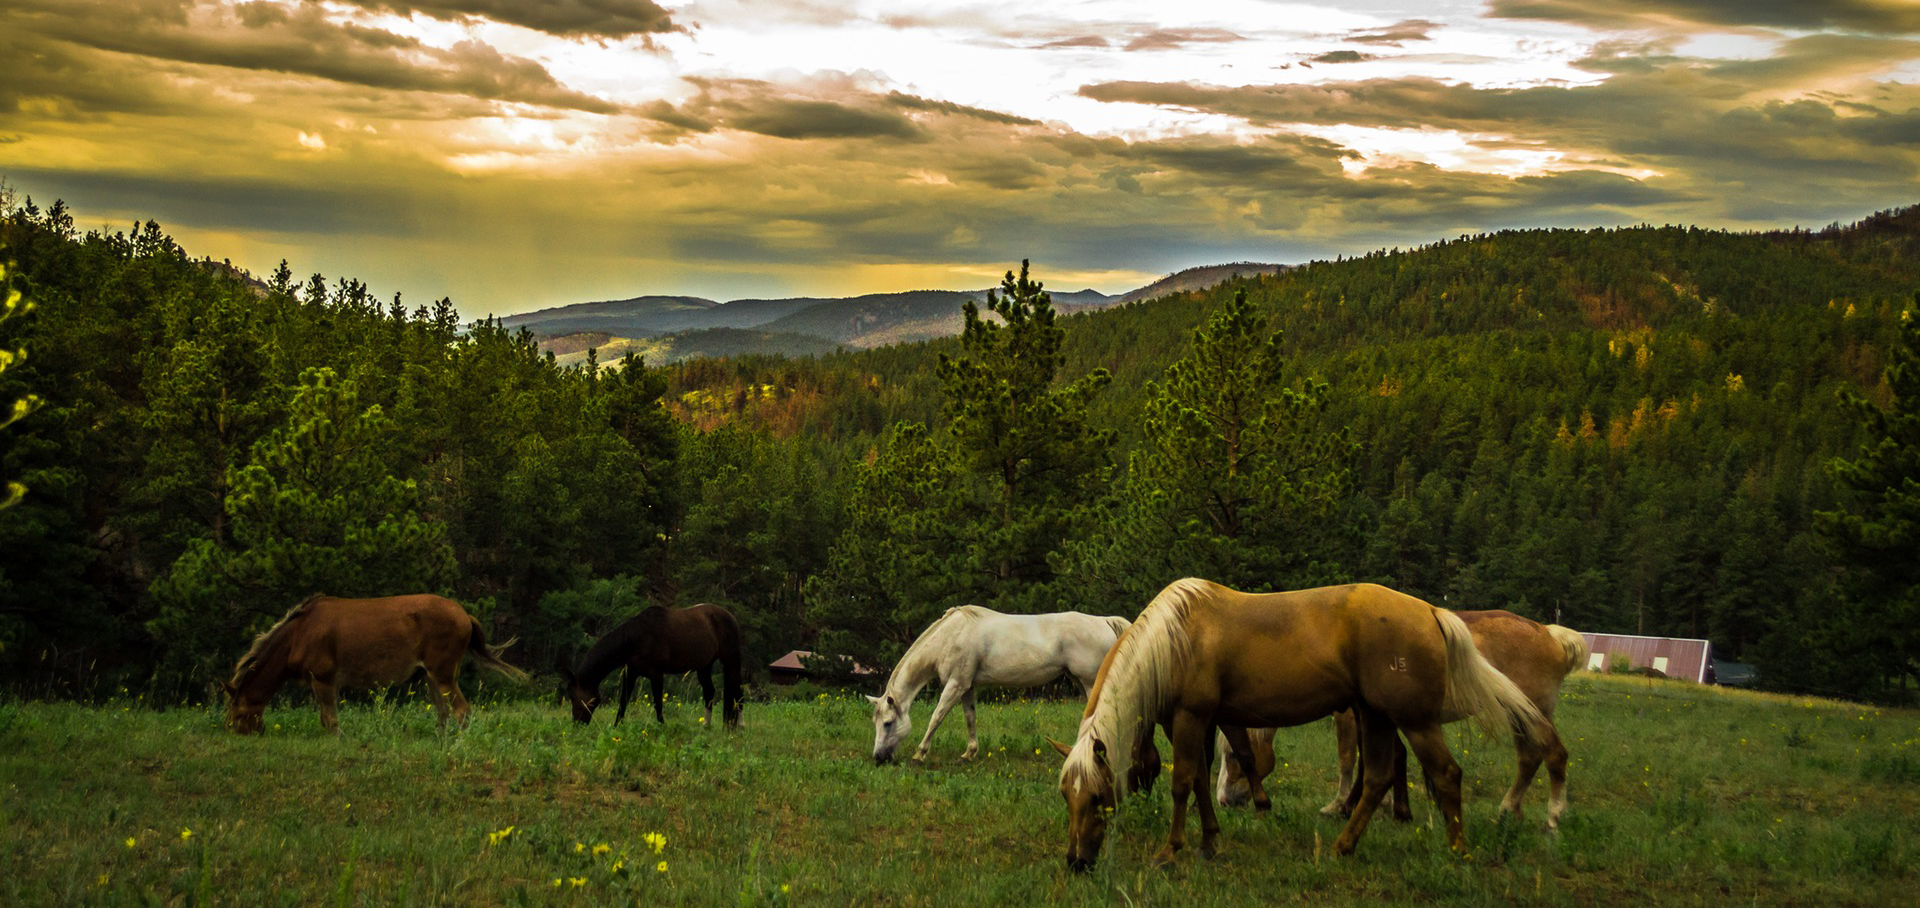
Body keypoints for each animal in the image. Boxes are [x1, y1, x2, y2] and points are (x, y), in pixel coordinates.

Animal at [221, 593, 528, 735]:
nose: (240, 732)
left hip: (442, 672)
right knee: (443, 713)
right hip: (431, 675)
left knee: (462, 710)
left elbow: (330, 720)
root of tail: (466, 616)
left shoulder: (323, 676)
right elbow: (325, 718)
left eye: (237, 712)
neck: (295, 639)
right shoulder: (322, 681)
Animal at [560, 604, 744, 728]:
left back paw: (740, 726)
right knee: (709, 692)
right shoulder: (631, 673)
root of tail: (731, 617)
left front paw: (662, 726)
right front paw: (616, 727)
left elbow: (657, 703)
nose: (577, 724)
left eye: (575, 696)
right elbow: (623, 701)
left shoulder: (656, 674)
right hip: (704, 666)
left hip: (731, 661)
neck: (638, 638)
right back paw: (706, 726)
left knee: (738, 692)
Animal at [868, 606, 1130, 764]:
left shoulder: (955, 685)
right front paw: (969, 753)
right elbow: (970, 718)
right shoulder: (967, 687)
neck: (951, 635)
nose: (878, 757)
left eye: (888, 723)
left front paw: (920, 754)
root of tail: (1104, 621)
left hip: (1089, 682)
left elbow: (937, 717)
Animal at [1051, 579, 1548, 871]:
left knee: (1445, 775)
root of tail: (1430, 611)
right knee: (1378, 778)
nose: (1076, 860)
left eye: (1095, 796)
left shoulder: (1190, 717)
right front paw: (1210, 842)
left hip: (1415, 720)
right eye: (1065, 796)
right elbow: (1199, 783)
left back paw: (1457, 851)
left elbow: (1182, 785)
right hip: (1375, 716)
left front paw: (1171, 851)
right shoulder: (1197, 722)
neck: (1175, 638)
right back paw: (1342, 847)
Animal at [1216, 611, 1587, 828]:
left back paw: (1553, 816)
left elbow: (1349, 760)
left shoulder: (1348, 716)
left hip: (1531, 713)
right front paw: (1386, 807)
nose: (1223, 801)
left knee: (1554, 754)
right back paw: (1510, 809)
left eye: (1233, 756)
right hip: (1518, 715)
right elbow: (1387, 757)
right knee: (1529, 758)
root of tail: (1551, 634)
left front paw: (1340, 805)